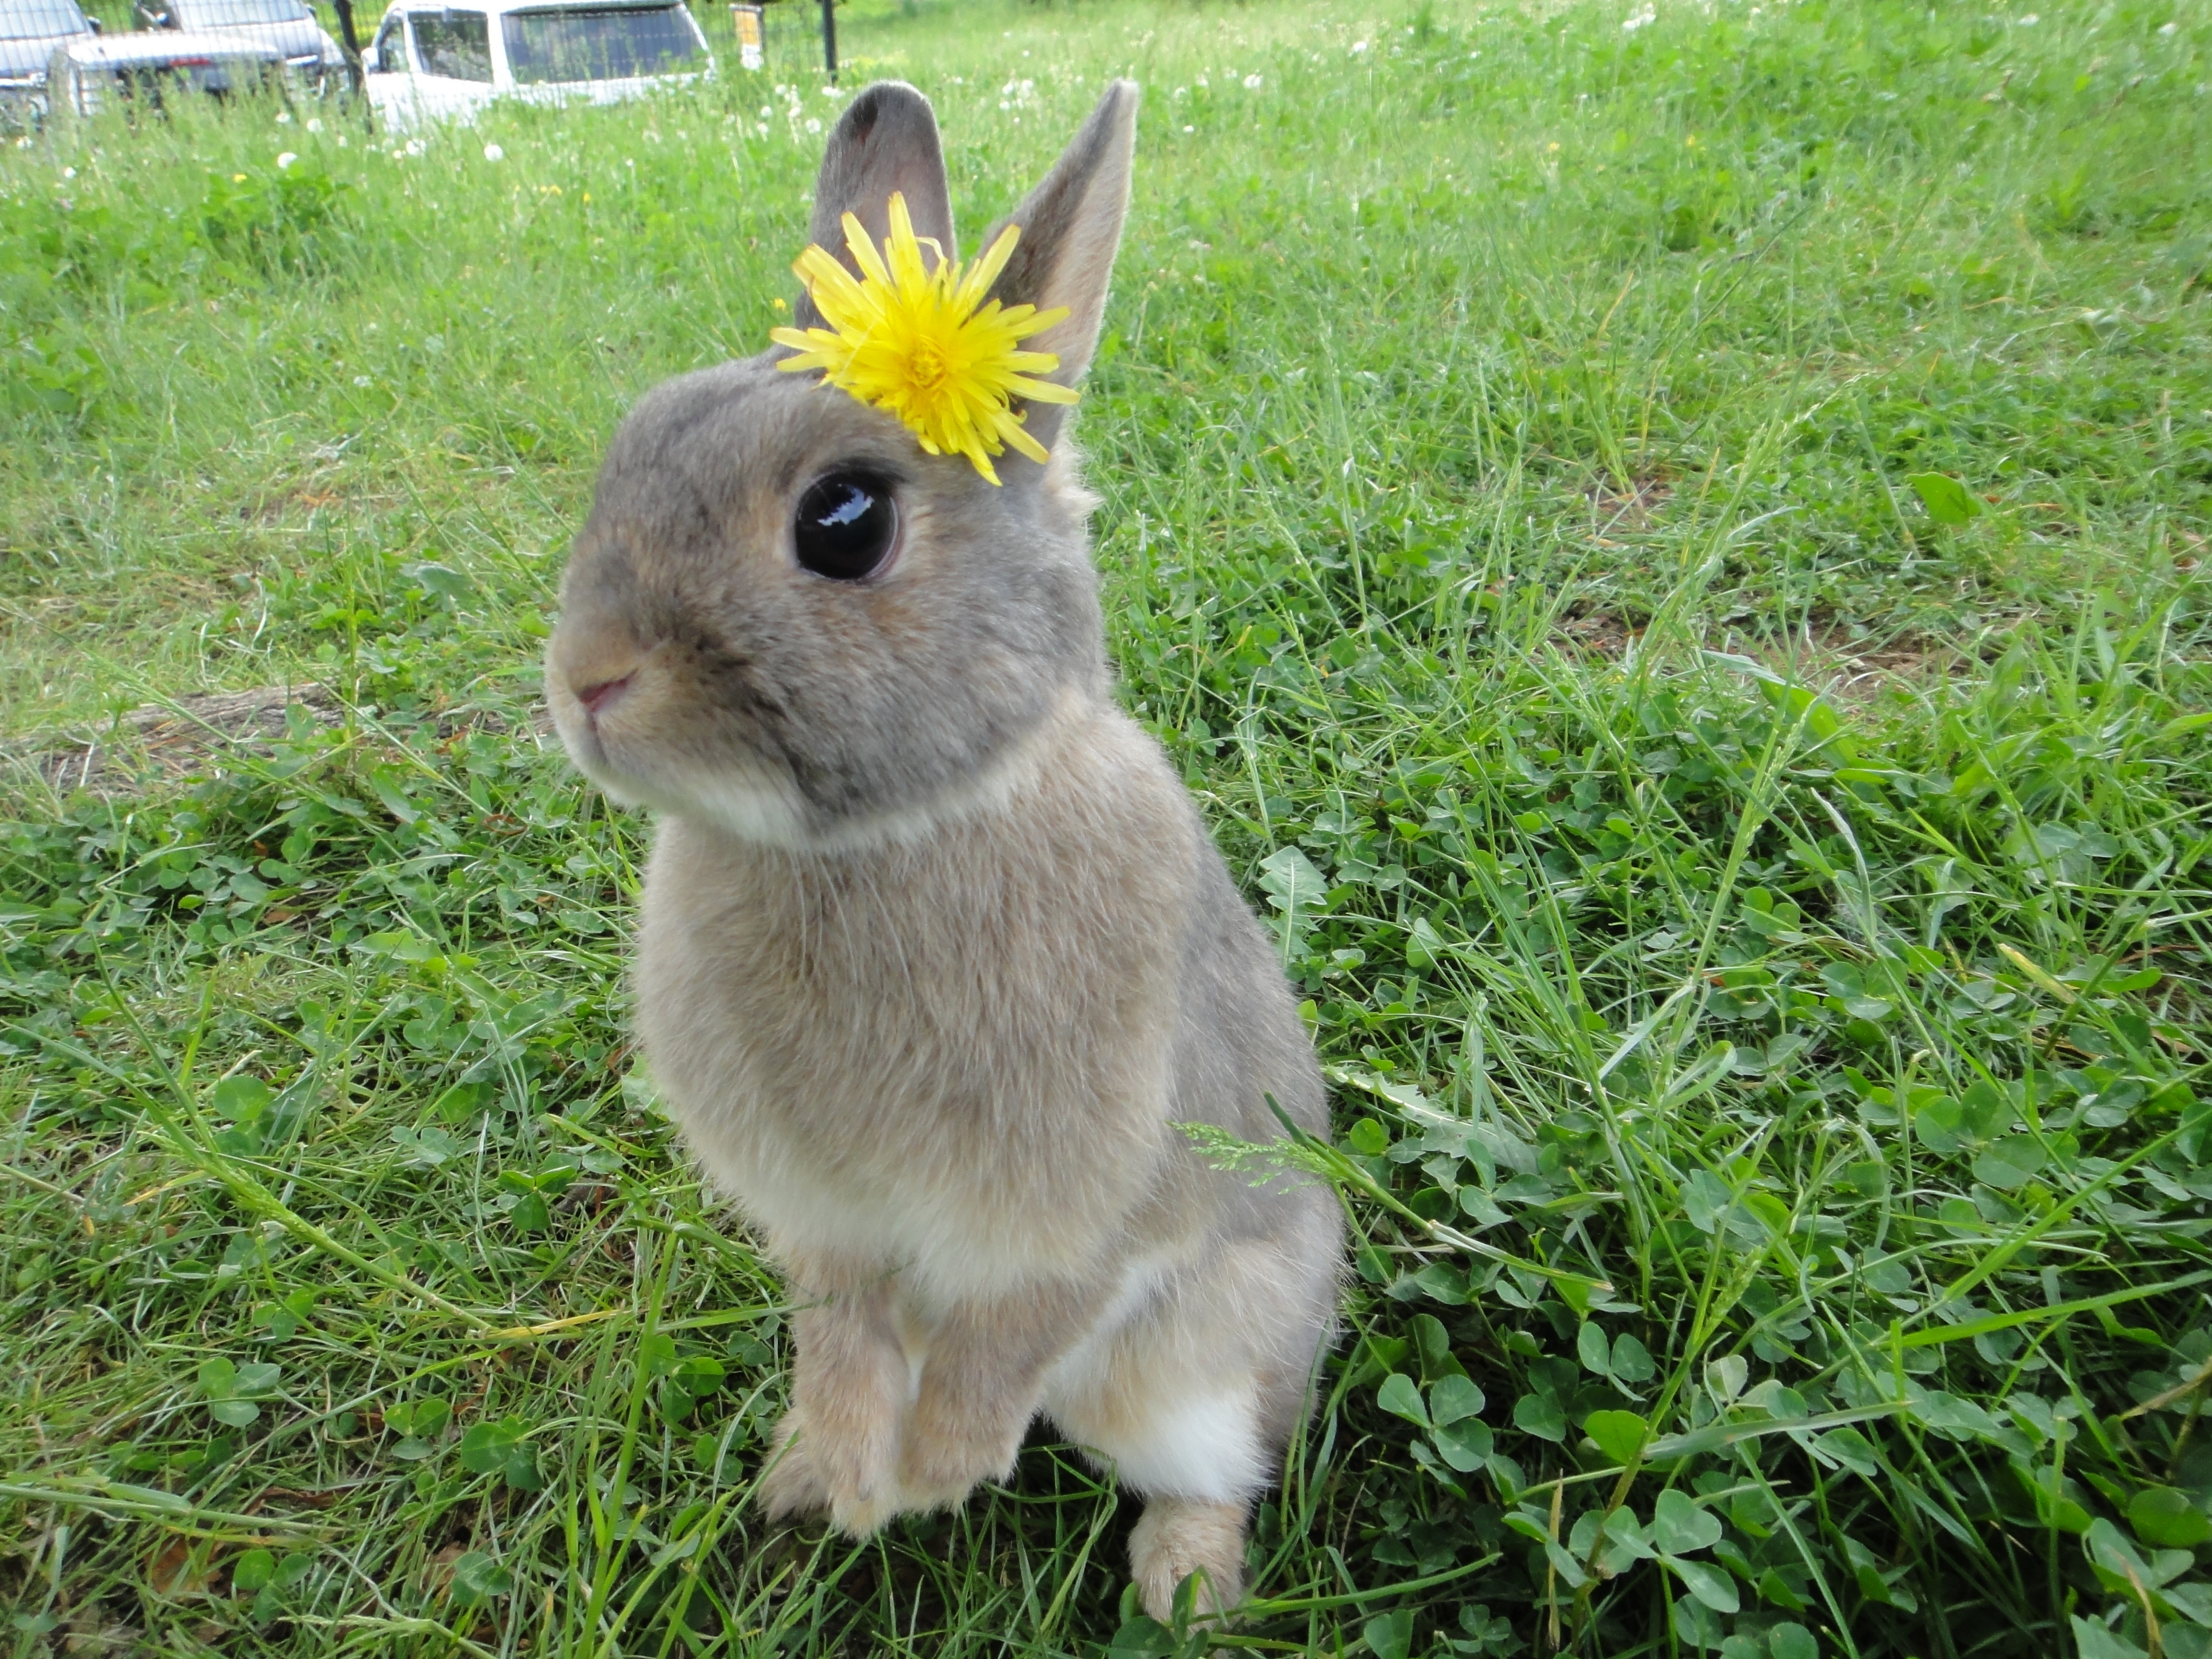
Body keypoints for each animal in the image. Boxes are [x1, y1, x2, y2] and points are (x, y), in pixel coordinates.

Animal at [544, 78, 1342, 1624]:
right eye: (639, 432)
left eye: (845, 521)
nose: (588, 680)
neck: (891, 832)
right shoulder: (824, 1225)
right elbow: (838, 1324)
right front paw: (862, 1472)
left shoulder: (1107, 1193)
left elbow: (1028, 1316)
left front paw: (937, 1469)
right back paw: (803, 1479)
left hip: (1198, 1365)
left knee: (1216, 1455)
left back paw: (1180, 1581)